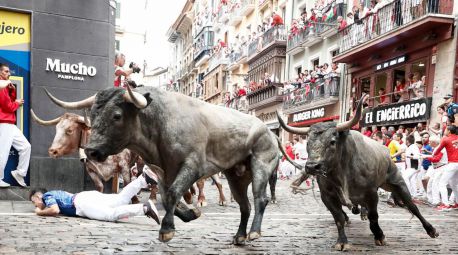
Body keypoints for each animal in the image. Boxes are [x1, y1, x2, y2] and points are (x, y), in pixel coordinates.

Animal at [44, 86, 298, 245]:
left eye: (116, 115)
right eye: (93, 115)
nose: (91, 150)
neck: (160, 122)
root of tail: (268, 130)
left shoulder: (192, 166)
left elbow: (175, 192)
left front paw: (167, 230)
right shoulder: (162, 171)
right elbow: (167, 198)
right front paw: (191, 213)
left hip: (261, 166)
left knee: (260, 199)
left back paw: (254, 232)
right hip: (236, 175)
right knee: (244, 205)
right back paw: (239, 236)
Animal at [278, 95, 438, 251]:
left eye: (332, 141)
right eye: (307, 143)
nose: (312, 167)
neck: (342, 173)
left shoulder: (371, 192)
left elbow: (374, 216)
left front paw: (379, 235)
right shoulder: (327, 196)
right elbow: (339, 218)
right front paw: (342, 241)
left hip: (397, 182)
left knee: (412, 206)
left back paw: (431, 230)